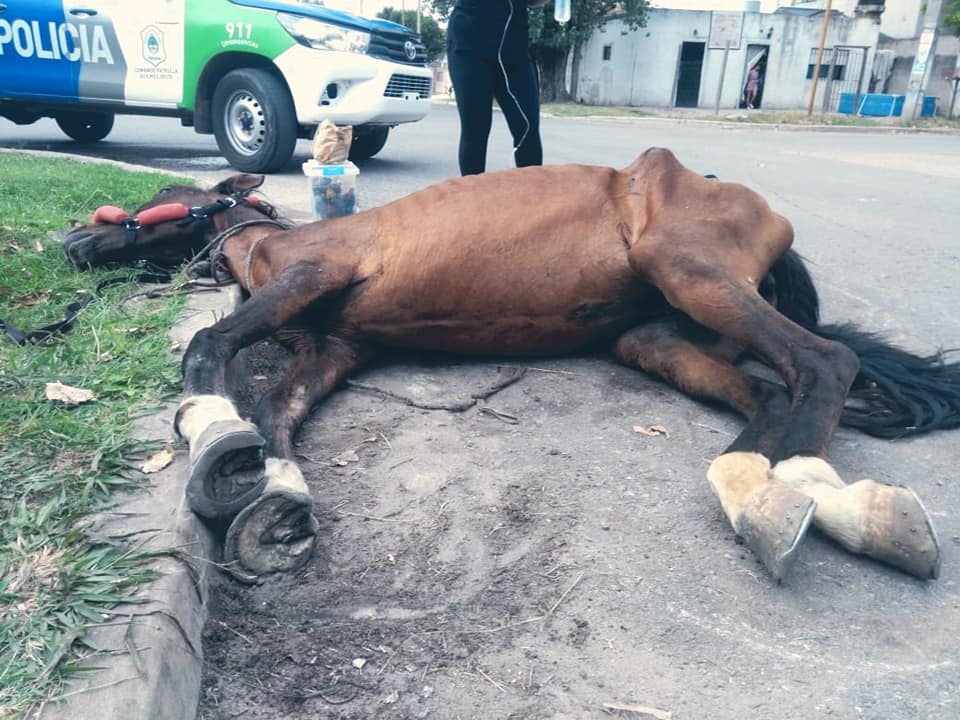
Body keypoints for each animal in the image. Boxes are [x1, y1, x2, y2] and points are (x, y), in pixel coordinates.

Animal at [63, 149, 956, 584]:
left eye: (142, 206)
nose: (71, 239)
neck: (263, 239)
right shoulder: (333, 349)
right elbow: (280, 415)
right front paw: (277, 507)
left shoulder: (313, 272)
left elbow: (210, 348)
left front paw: (212, 440)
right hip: (657, 338)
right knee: (772, 397)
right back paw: (769, 500)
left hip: (687, 268)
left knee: (827, 362)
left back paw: (806, 504)